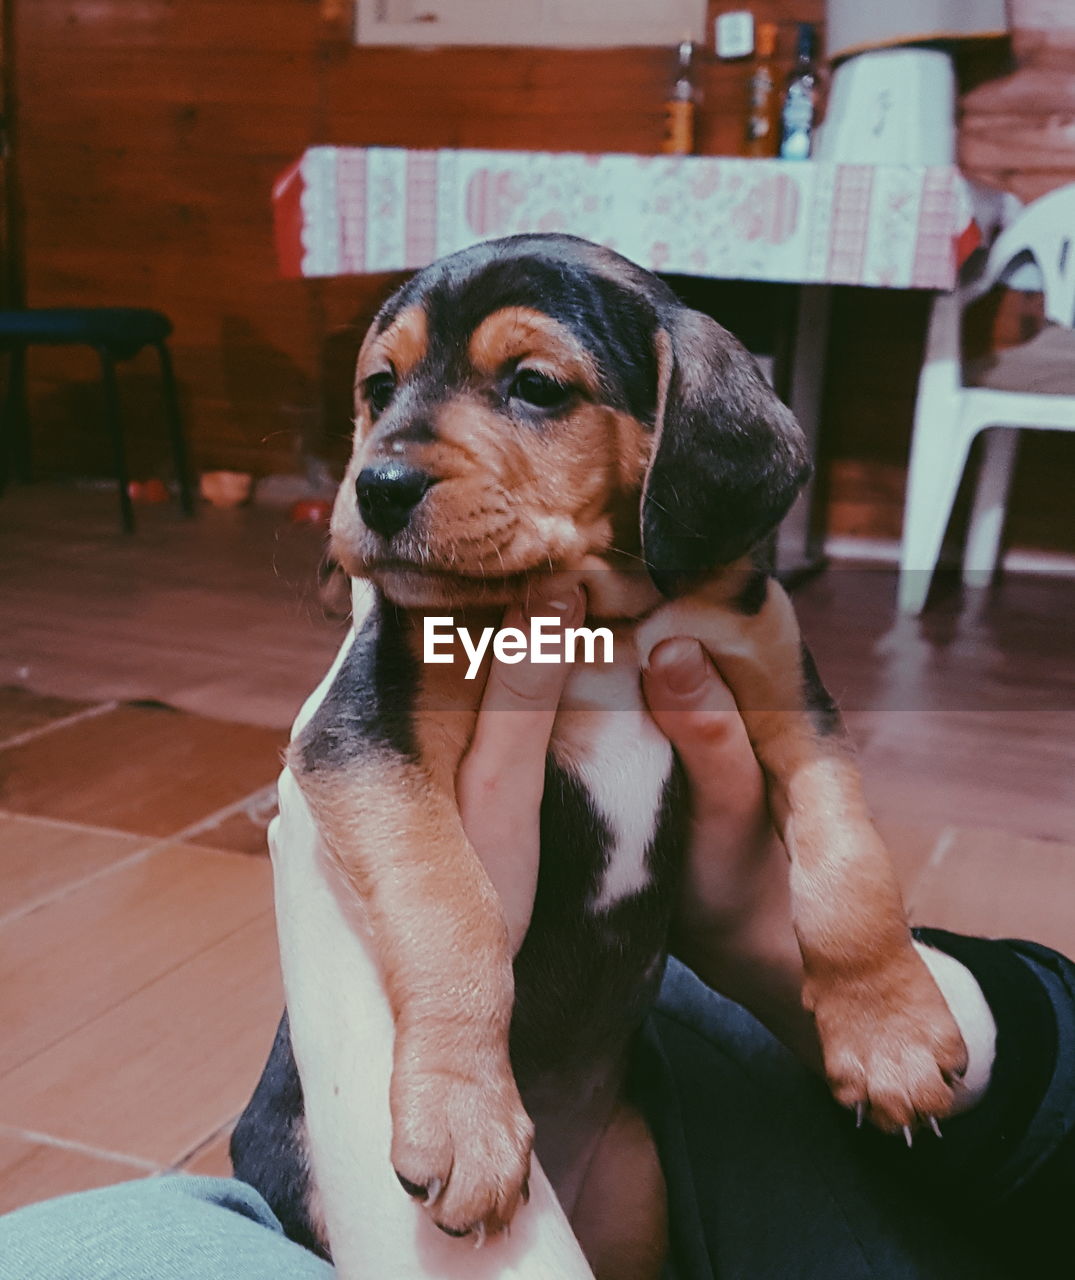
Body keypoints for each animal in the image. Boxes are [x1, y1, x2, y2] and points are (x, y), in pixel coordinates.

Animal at [230, 232, 967, 1280]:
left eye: (535, 386)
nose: (374, 488)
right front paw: (463, 1115)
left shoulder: (788, 689)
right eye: (380, 386)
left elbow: (847, 868)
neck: (601, 625)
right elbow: (449, 904)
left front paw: (891, 1035)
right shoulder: (363, 733)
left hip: (634, 1193)